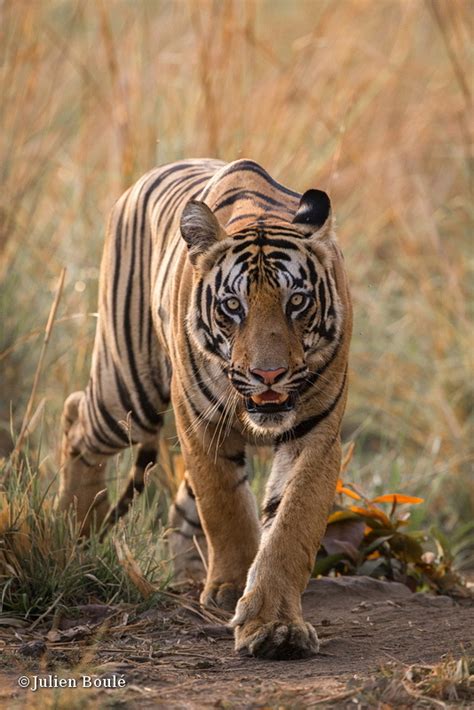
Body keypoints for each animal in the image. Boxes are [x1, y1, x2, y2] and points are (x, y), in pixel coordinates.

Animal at [58, 160, 352, 660]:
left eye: (296, 301)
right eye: (233, 306)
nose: (268, 375)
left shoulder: (316, 434)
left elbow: (291, 525)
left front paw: (275, 625)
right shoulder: (200, 423)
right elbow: (225, 507)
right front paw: (233, 589)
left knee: (182, 504)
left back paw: (186, 575)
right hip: (129, 390)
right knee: (77, 415)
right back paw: (73, 529)